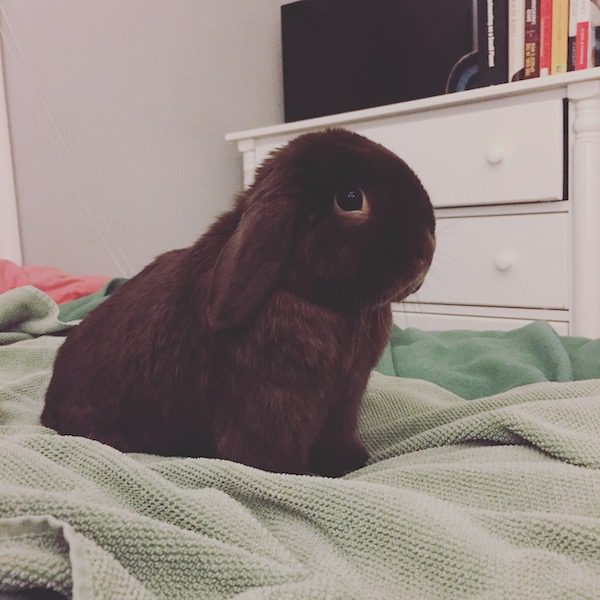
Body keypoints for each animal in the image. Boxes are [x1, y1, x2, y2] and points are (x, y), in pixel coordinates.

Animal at [43, 129, 436, 476]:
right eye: (351, 199)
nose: (427, 252)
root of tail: (48, 408)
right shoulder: (272, 405)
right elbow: (267, 456)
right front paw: (299, 476)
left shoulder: (344, 403)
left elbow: (339, 441)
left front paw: (353, 464)